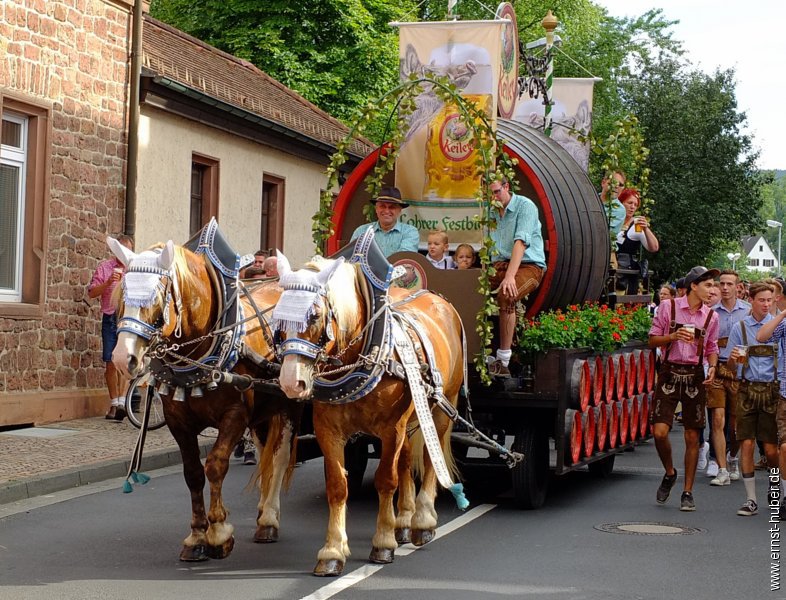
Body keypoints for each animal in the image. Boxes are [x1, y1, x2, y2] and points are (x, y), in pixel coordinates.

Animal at [107, 236, 298, 564]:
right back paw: (262, 511)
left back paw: (269, 521)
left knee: (280, 455)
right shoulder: (178, 421)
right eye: (122, 295)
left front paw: (219, 533)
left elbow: (215, 466)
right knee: (265, 454)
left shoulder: (235, 415)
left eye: (155, 299)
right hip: (263, 411)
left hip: (285, 404)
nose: (123, 358)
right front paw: (196, 537)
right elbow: (193, 473)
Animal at [272, 250, 462, 576]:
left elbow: (386, 480)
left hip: (441, 405)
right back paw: (404, 521)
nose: (290, 382)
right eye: (277, 318)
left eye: (315, 315)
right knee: (406, 461)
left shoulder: (391, 429)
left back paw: (423, 520)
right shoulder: (328, 430)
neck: (364, 354)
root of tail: (438, 299)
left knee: (429, 458)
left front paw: (383, 542)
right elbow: (338, 486)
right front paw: (333, 551)